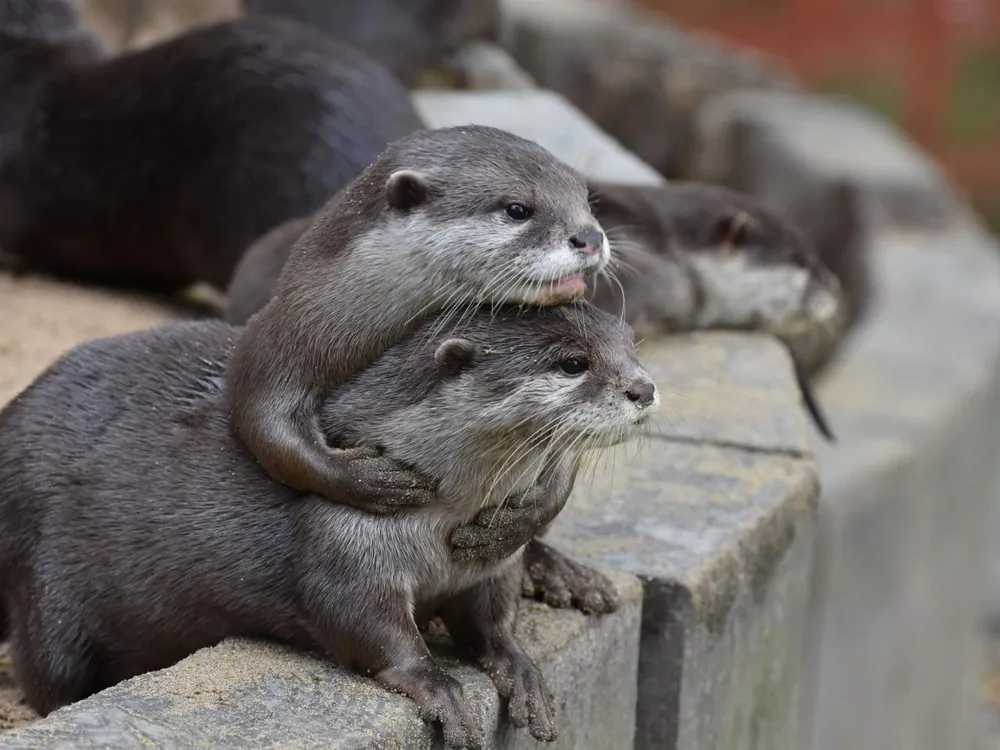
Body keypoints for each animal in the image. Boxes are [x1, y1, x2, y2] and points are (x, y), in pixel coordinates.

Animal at [0, 302, 656, 748]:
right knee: (49, 669)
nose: (645, 387)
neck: (439, 531)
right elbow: (361, 623)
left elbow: (491, 622)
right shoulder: (344, 541)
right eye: (572, 363)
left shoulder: (492, 561)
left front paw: (521, 671)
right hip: (48, 583)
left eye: (632, 345)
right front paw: (438, 686)